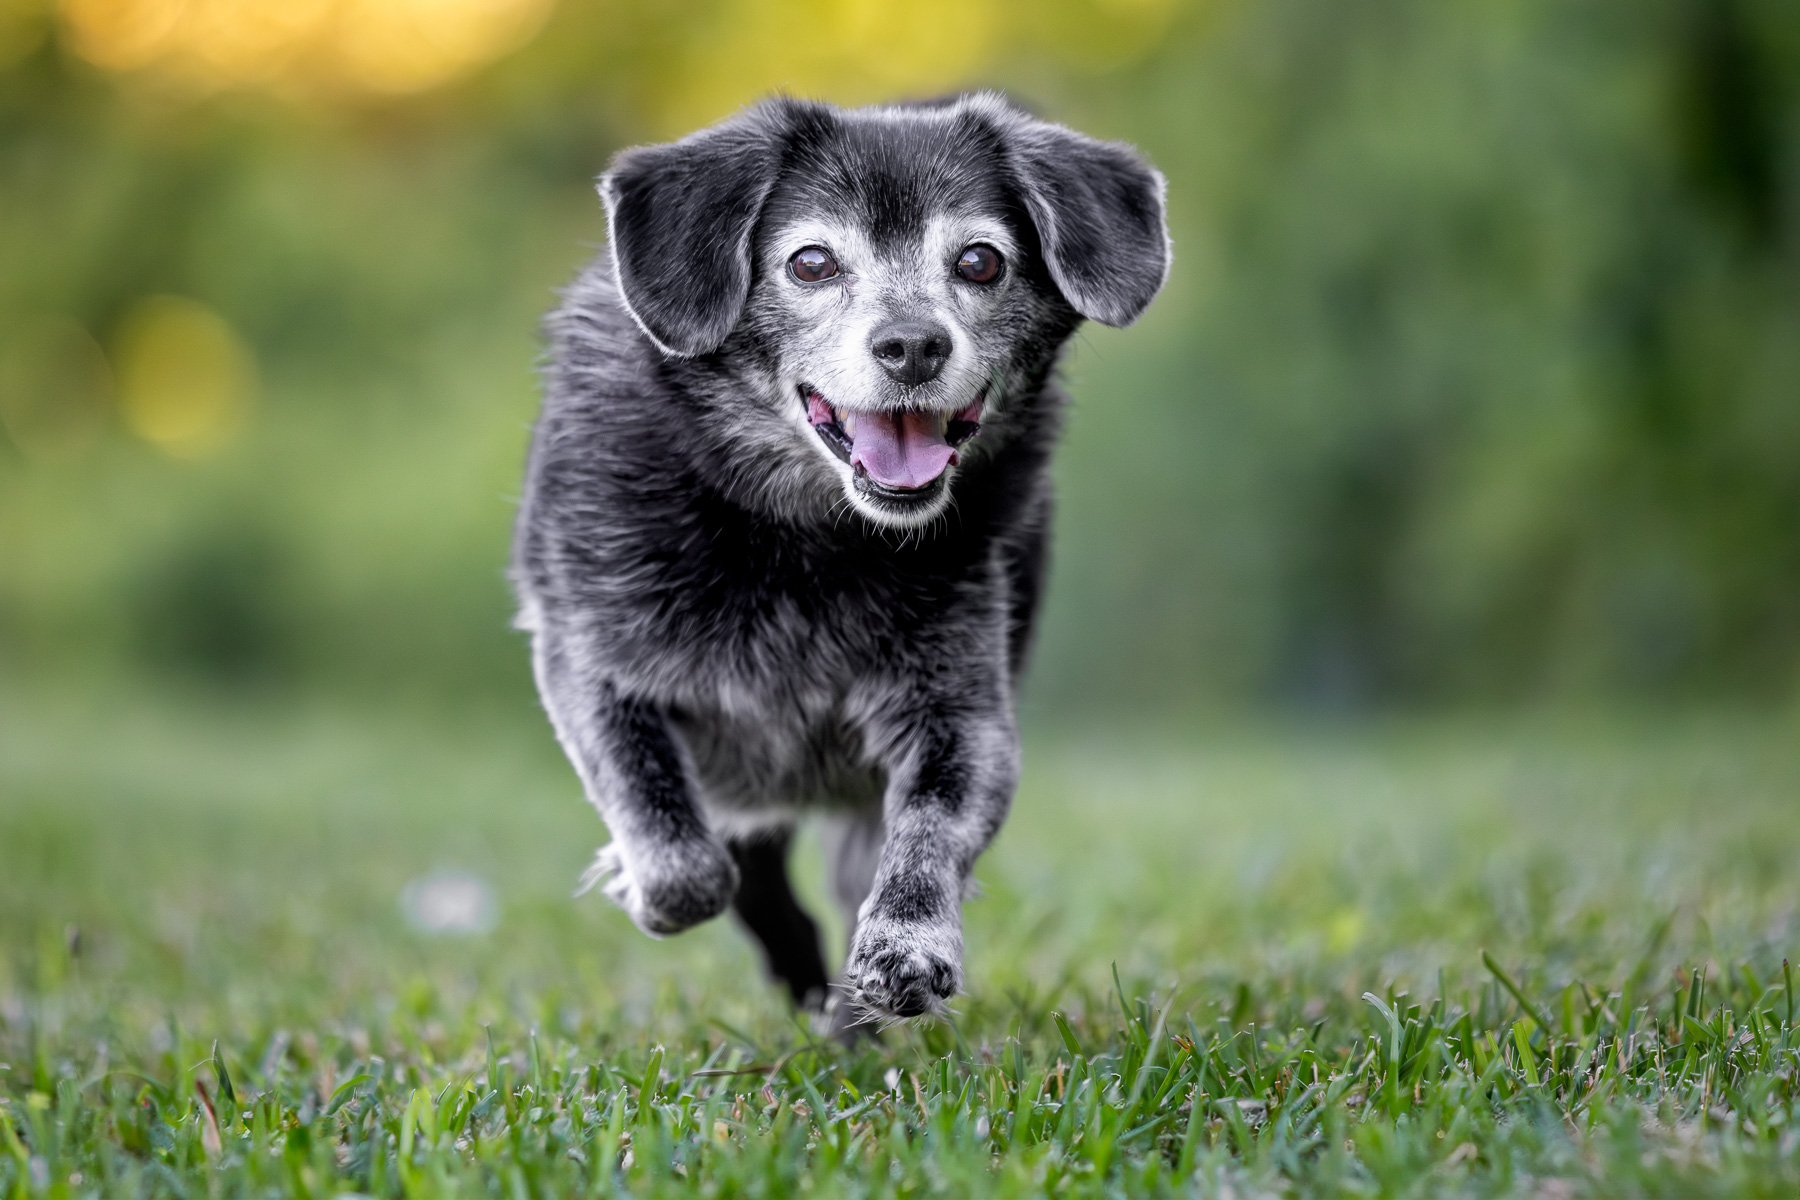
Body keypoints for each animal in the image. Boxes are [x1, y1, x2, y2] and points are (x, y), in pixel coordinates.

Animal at [514, 94, 1173, 1029]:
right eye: (812, 262)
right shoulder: (587, 667)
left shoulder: (962, 715)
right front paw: (637, 879)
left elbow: (929, 833)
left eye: (980, 261)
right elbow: (683, 859)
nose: (913, 345)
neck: (803, 534)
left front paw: (907, 947)